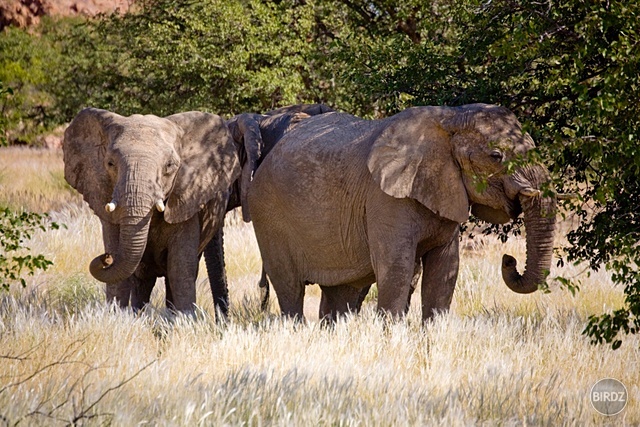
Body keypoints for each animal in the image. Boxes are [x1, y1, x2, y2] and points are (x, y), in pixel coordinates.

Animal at [63, 108, 240, 312]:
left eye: (169, 166)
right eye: (110, 163)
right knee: (141, 279)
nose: (105, 257)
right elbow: (121, 273)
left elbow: (180, 267)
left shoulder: (187, 199)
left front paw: (186, 318)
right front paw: (114, 315)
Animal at [248, 105, 556, 322]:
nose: (508, 259)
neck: (452, 117)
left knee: (340, 293)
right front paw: (392, 338)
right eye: (495, 156)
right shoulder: (384, 197)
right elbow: (397, 266)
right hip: (268, 215)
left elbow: (446, 269)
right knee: (290, 288)